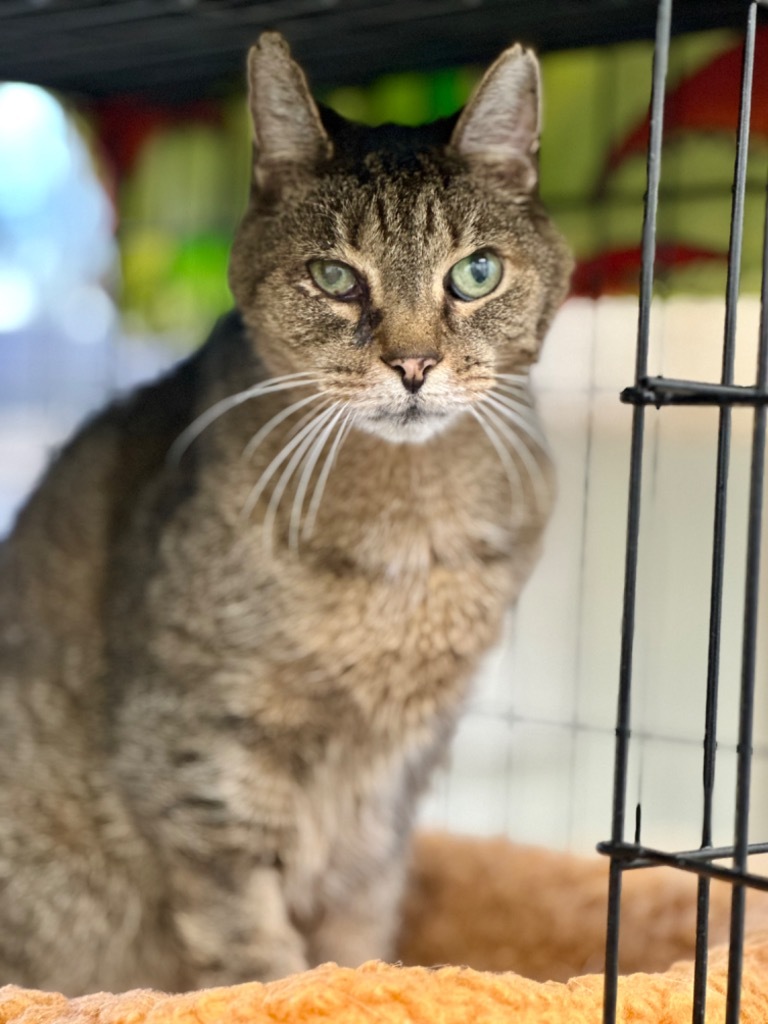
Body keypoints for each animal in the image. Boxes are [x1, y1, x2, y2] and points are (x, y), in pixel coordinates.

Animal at [0, 32, 573, 991]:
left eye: (476, 273)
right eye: (335, 277)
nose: (413, 365)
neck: (405, 540)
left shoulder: (394, 781)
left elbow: (359, 919)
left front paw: (367, 984)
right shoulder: (204, 745)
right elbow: (249, 935)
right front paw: (287, 990)